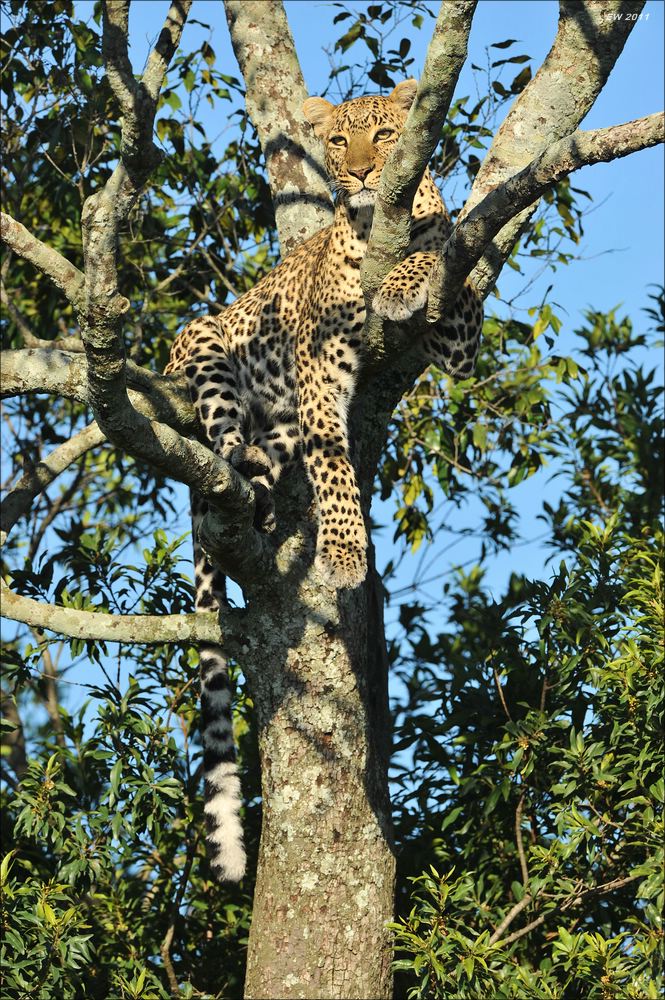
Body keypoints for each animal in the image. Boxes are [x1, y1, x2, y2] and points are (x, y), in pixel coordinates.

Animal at [166, 78, 482, 880]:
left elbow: (442, 253)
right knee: (227, 445)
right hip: (207, 353)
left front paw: (411, 269)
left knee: (267, 455)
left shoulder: (458, 338)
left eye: (385, 133)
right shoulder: (317, 366)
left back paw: (262, 496)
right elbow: (335, 467)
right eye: (339, 142)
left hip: (277, 423)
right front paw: (343, 553)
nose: (367, 174)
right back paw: (238, 483)